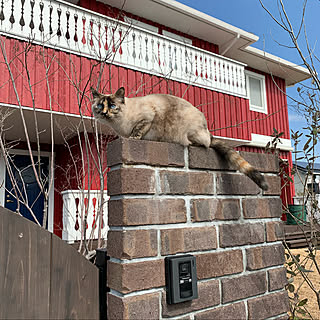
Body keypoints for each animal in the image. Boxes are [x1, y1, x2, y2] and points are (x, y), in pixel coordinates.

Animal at [91, 87, 268, 190]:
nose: (104, 113)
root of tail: (207, 128)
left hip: (189, 130)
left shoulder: (148, 118)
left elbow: (138, 131)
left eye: (112, 106)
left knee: (205, 143)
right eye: (100, 106)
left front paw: (135, 137)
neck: (118, 124)